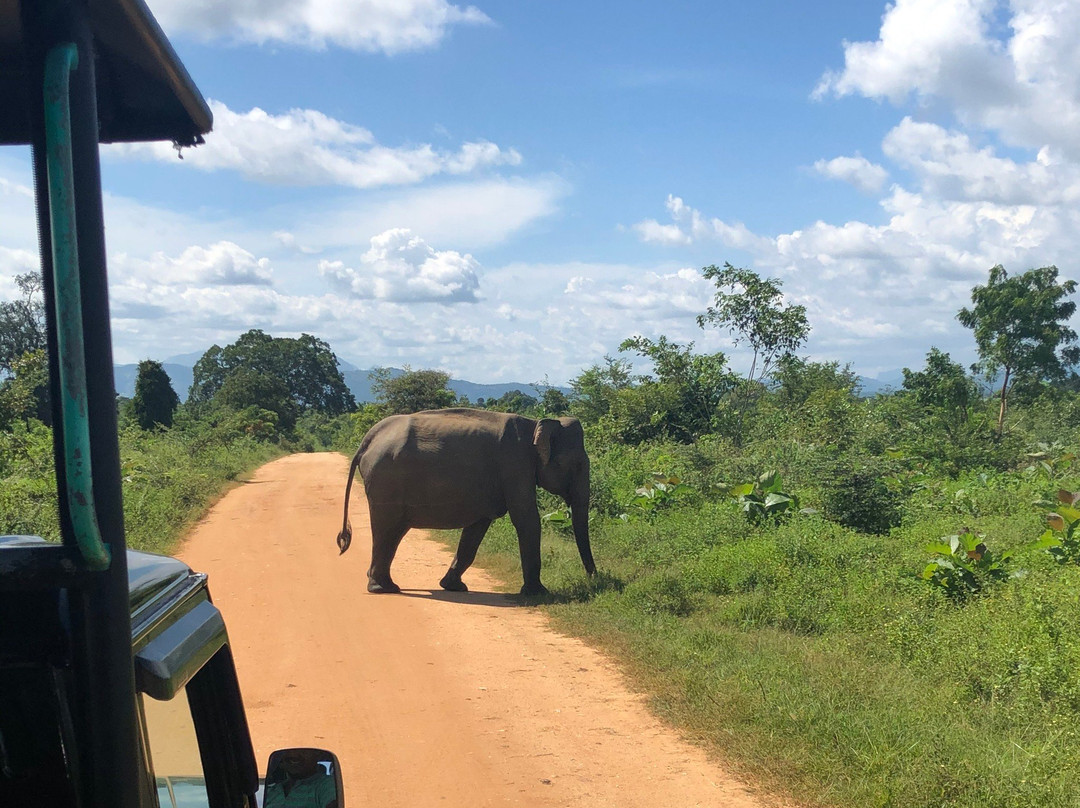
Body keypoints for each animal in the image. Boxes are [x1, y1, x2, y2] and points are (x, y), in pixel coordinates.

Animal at [334, 410, 596, 591]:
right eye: (577, 465)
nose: (594, 579)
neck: (536, 423)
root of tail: (368, 438)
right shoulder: (515, 466)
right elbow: (527, 519)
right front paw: (539, 593)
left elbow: (476, 528)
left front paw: (453, 587)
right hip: (386, 482)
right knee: (388, 530)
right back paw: (384, 588)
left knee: (392, 532)